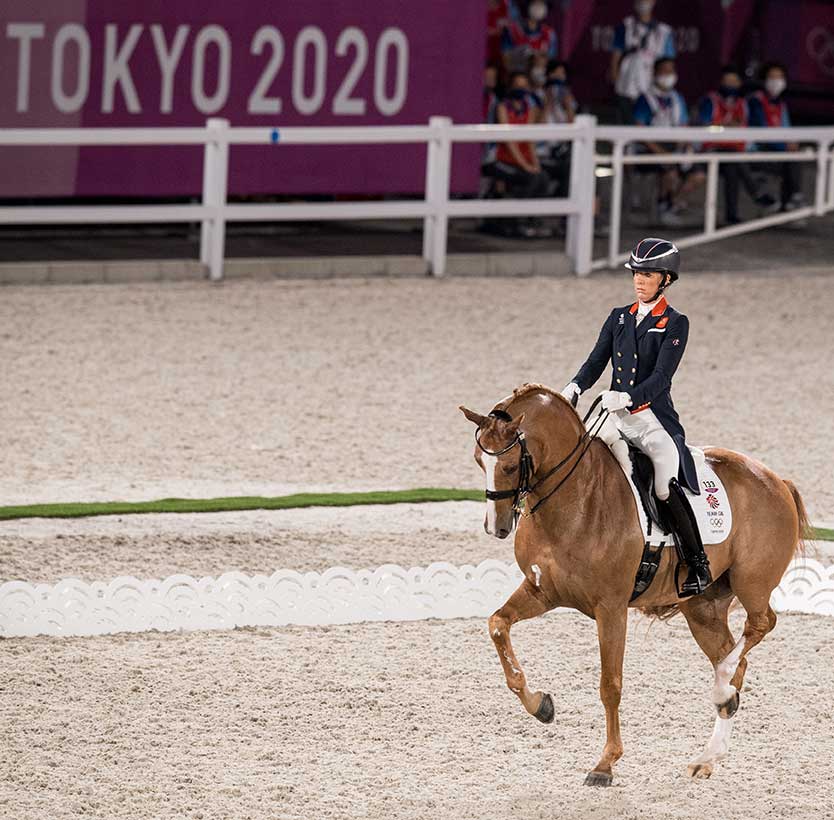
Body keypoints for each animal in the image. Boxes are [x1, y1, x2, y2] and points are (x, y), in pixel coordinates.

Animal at [456, 384, 808, 788]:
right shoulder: (542, 591)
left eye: (511, 466)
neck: (576, 497)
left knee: (760, 625)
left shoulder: (611, 609)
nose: (496, 527)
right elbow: (498, 625)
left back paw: (720, 691)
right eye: (479, 462)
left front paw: (605, 764)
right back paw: (709, 753)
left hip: (752, 584)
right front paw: (541, 705)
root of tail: (777, 480)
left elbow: (610, 684)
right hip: (702, 607)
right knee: (734, 660)